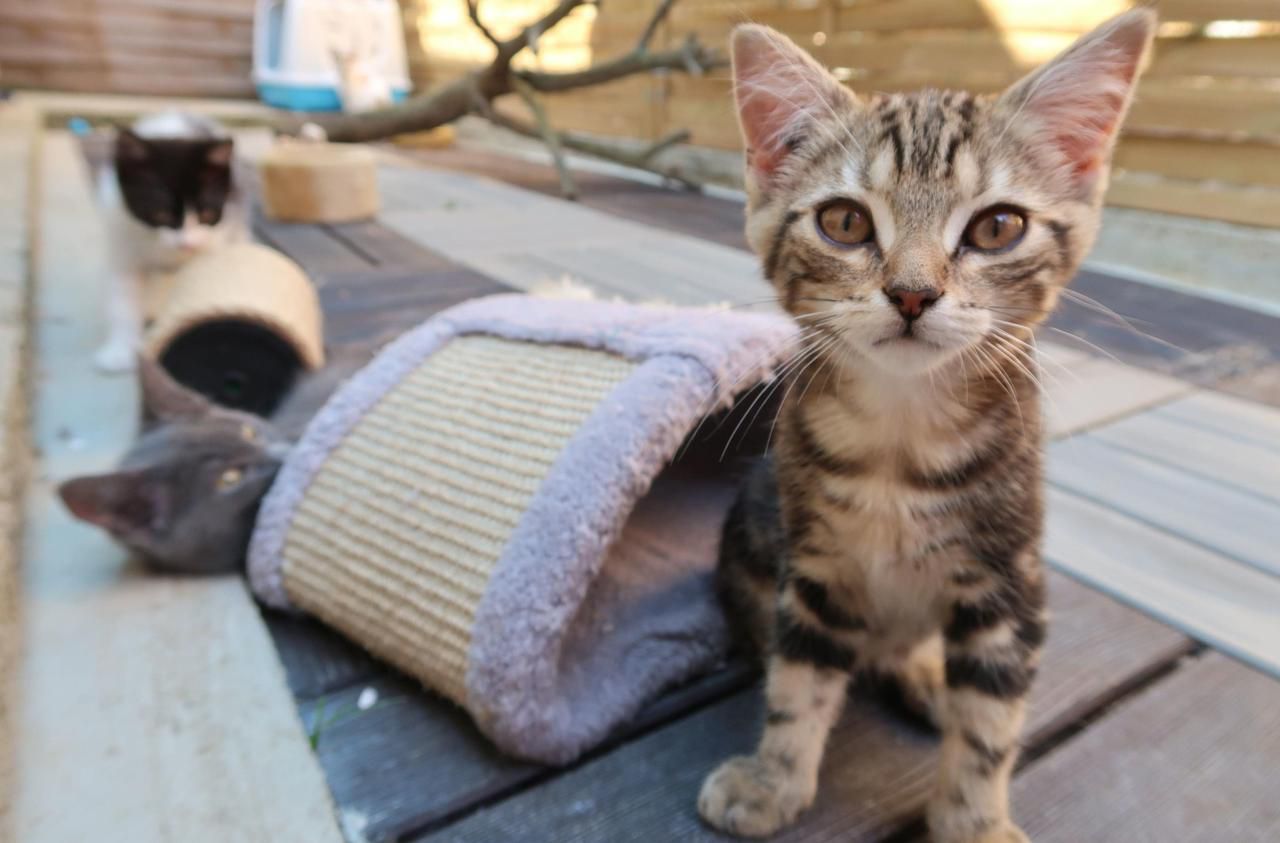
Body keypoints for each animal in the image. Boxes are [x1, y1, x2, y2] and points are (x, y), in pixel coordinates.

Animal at [96, 111, 248, 373]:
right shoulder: (122, 242)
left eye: (207, 214)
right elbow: (123, 302)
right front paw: (119, 351)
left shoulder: (216, 236)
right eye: (162, 214)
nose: (187, 243)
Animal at [706, 13, 1157, 843]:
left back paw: (925, 679)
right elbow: (798, 684)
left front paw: (975, 819)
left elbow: (991, 724)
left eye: (999, 226)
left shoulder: (1011, 583)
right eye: (844, 221)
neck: (901, 435)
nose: (913, 293)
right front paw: (774, 779)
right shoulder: (816, 569)